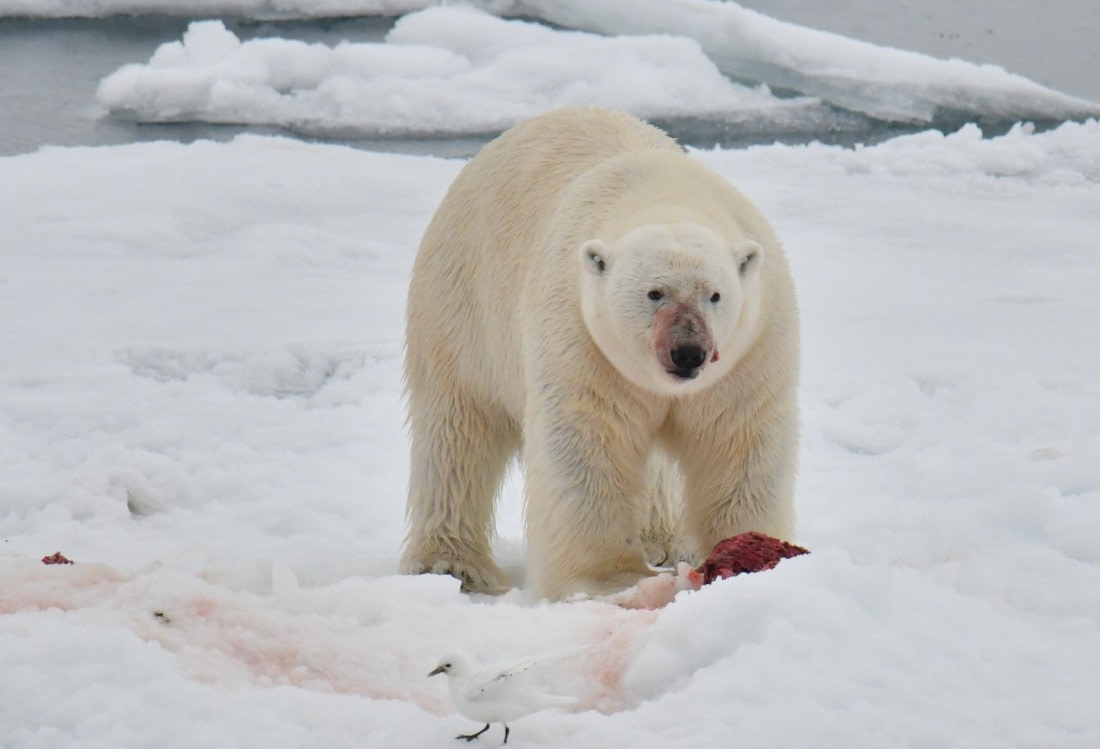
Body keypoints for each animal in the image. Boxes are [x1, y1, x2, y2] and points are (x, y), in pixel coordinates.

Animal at [401, 107, 799, 600]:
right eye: (654, 293)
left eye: (715, 295)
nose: (688, 352)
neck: (666, 195)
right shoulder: (580, 335)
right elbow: (587, 442)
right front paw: (608, 580)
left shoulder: (754, 345)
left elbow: (738, 438)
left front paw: (749, 557)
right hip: (460, 302)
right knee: (456, 428)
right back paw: (450, 564)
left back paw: (662, 541)